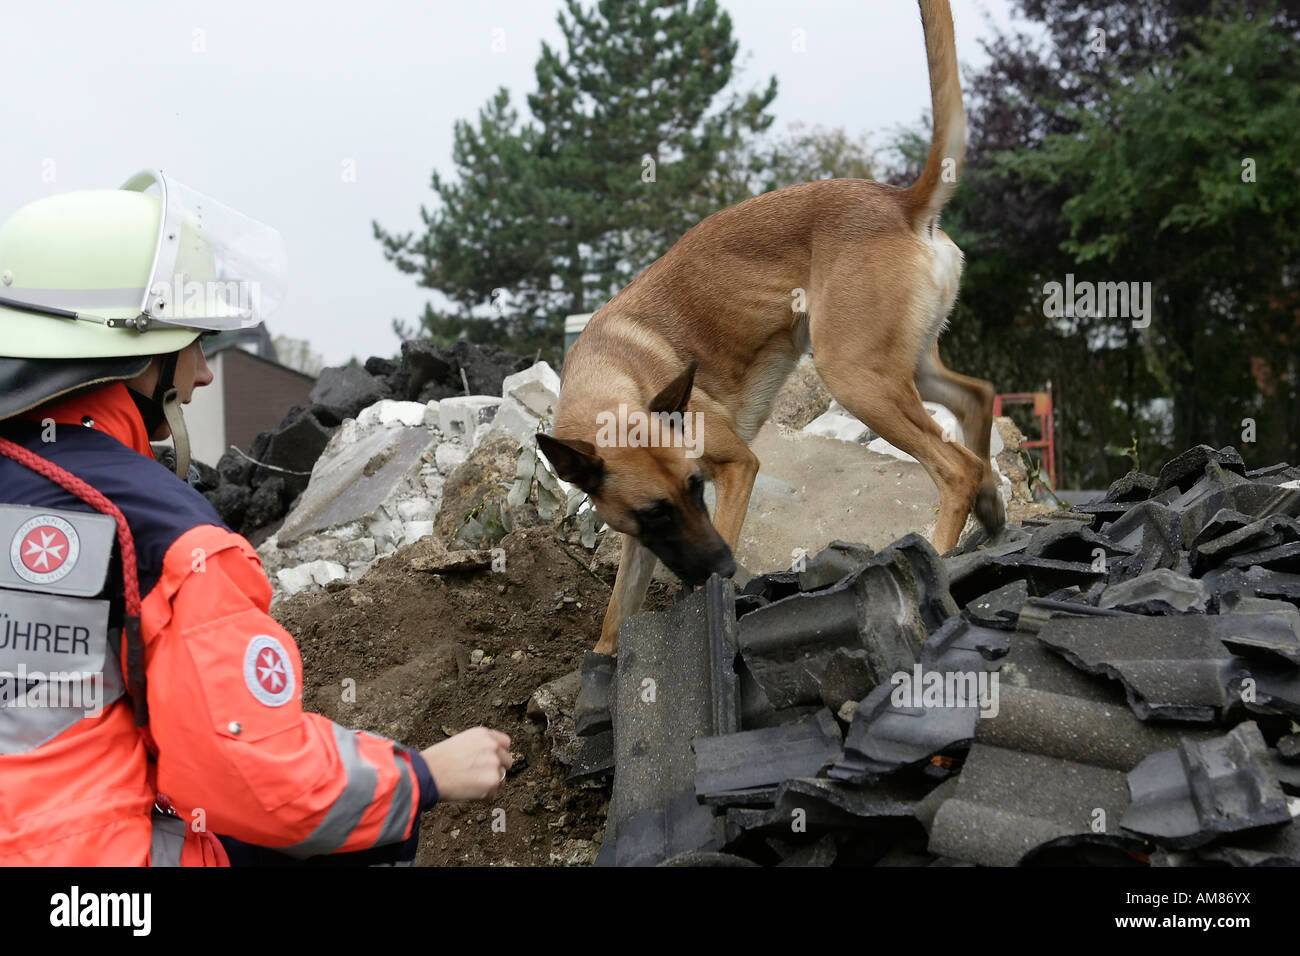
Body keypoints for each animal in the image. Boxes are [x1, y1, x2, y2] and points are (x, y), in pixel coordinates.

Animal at [533, 0, 998, 655]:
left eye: (696, 487)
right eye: (655, 513)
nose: (728, 568)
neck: (610, 370)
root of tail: (900, 202)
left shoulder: (735, 468)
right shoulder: (639, 539)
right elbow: (613, 619)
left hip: (854, 377)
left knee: (956, 466)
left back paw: (936, 552)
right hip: (904, 366)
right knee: (976, 400)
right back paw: (994, 513)